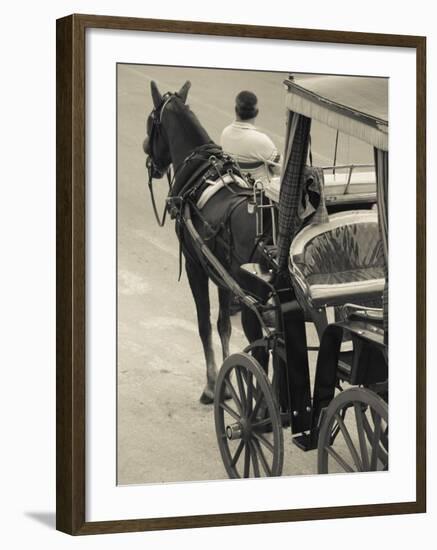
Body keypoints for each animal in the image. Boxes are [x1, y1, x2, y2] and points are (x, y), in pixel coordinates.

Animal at [142, 81, 270, 406]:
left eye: (151, 122)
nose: (146, 150)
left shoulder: (194, 265)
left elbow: (204, 325)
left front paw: (213, 386)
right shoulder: (222, 275)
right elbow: (223, 325)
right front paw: (228, 382)